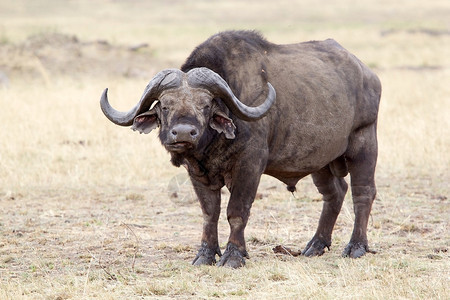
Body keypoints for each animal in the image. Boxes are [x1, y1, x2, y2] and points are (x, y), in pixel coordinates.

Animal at [100, 30, 382, 268]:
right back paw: (316, 245)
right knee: (334, 193)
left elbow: (236, 212)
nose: (183, 133)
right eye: (165, 106)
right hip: (319, 161)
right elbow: (209, 213)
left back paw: (356, 246)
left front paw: (233, 255)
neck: (211, 148)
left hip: (364, 142)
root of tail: (368, 75)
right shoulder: (197, 173)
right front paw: (205, 255)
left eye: (206, 105)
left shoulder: (249, 166)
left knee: (363, 193)